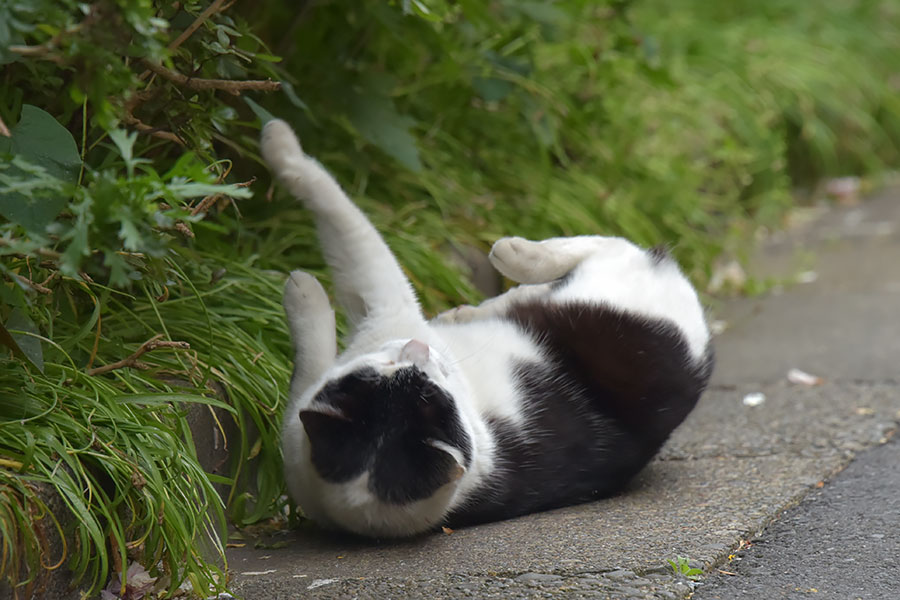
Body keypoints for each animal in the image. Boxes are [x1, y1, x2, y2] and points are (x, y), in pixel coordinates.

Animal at [262, 118, 716, 540]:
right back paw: (482, 299)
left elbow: (338, 214)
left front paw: (280, 145)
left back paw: (509, 257)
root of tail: (702, 354)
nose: (419, 349)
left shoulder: (386, 307)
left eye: (427, 389)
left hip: (608, 297)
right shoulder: (295, 434)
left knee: (610, 247)